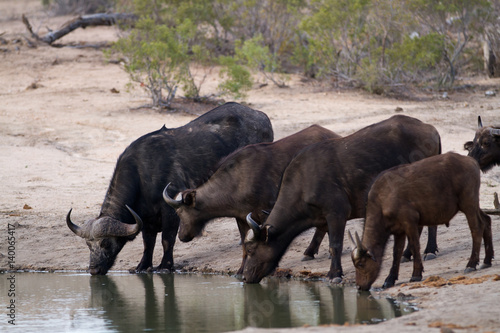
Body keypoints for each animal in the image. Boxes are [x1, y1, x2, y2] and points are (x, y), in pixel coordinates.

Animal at [66, 102, 274, 274]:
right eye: (88, 245)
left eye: (106, 244)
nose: (93, 269)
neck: (142, 173)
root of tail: (261, 115)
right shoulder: (146, 217)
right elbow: (148, 243)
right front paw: (143, 265)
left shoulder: (170, 210)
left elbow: (167, 239)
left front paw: (165, 266)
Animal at [163, 124, 340, 272]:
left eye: (180, 213)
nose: (181, 236)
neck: (236, 182)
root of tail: (334, 136)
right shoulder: (241, 219)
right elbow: (244, 246)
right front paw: (241, 270)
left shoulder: (265, 212)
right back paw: (310, 252)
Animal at [242, 114, 442, 282]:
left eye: (251, 250)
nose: (244, 277)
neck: (303, 182)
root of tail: (430, 128)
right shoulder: (323, 218)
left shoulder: (337, 212)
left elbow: (335, 244)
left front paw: (335, 274)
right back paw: (408, 253)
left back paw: (430, 250)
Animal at [350, 152, 494, 290]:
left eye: (360, 264)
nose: (359, 286)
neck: (382, 199)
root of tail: (471, 161)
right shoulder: (398, 231)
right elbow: (396, 253)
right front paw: (390, 279)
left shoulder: (410, 222)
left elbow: (415, 246)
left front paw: (416, 274)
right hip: (473, 205)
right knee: (487, 221)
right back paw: (487, 260)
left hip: (468, 203)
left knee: (477, 228)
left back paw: (471, 264)